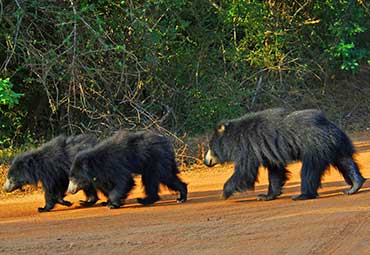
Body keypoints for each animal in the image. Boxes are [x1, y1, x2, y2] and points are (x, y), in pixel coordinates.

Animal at [204, 107, 366, 201]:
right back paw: (354, 186)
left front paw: (223, 193)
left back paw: (302, 195)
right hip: (333, 146)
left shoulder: (247, 148)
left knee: (309, 171)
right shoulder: (267, 151)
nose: (206, 162)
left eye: (211, 147)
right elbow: (275, 171)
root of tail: (329, 126)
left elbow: (245, 171)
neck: (233, 137)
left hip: (314, 147)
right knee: (345, 162)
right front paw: (266, 196)